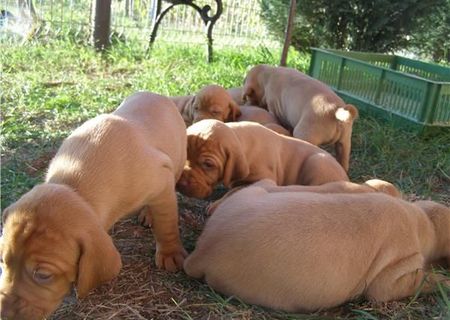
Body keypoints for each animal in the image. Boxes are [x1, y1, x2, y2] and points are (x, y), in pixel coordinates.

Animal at [0, 91, 186, 318]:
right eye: (2, 261)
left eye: (43, 275)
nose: (3, 313)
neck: (74, 182)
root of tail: (156, 94)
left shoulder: (162, 180)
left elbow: (166, 223)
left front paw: (170, 253)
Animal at [176, 120, 348, 200]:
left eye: (208, 165)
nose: (180, 183)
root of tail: (346, 179)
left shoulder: (261, 178)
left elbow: (235, 191)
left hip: (317, 163)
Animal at [184, 180, 450, 312]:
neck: (423, 220)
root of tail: (202, 251)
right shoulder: (391, 279)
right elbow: (420, 281)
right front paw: (444, 280)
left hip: (256, 193)